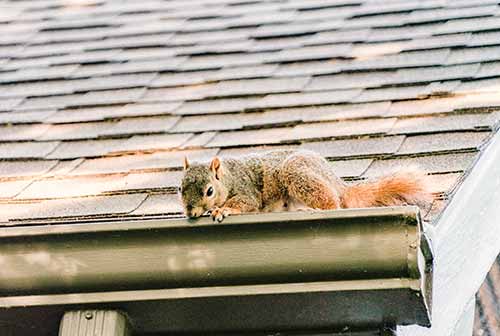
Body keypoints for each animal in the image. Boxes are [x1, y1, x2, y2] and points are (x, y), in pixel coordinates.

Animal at [179, 148, 430, 222]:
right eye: (180, 188)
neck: (228, 177)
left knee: (332, 204)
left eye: (209, 191)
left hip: (298, 174)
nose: (190, 212)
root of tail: (338, 183)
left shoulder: (246, 191)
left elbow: (245, 203)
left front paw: (222, 209)